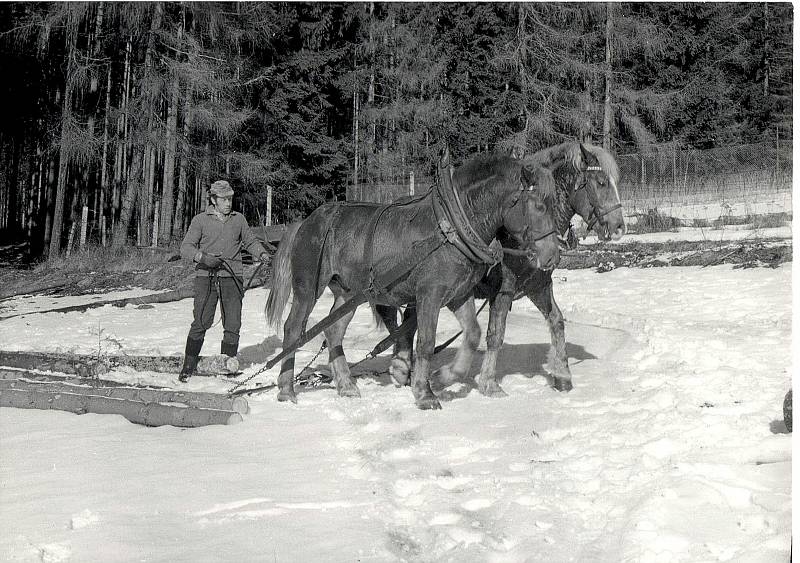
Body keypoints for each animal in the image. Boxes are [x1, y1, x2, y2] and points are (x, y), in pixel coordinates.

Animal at [266, 154, 560, 410]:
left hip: (349, 293)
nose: (552, 255)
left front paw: (443, 377)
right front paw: (424, 393)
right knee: (293, 329)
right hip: (308, 287)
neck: (451, 228)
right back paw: (286, 390)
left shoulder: (458, 295)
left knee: (334, 331)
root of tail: (306, 221)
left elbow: (473, 335)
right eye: (539, 206)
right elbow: (426, 343)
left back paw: (346, 385)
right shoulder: (429, 294)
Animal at [378, 141, 628, 396]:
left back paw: (403, 367)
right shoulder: (503, 290)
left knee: (409, 319)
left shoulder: (538, 286)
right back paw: (403, 368)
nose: (619, 227)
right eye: (601, 182)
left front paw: (562, 376)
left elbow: (557, 321)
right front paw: (489, 383)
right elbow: (495, 334)